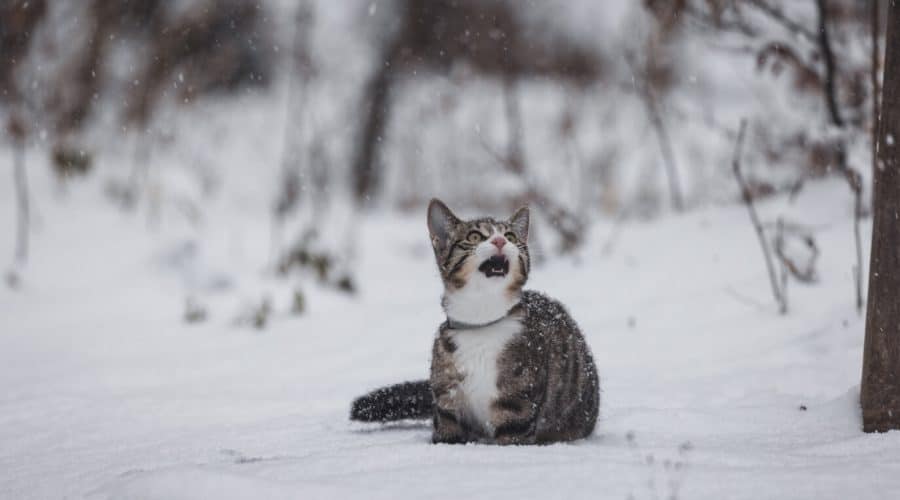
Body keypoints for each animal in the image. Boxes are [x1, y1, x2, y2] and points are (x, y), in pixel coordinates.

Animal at [350, 199, 596, 446]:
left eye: (510, 236)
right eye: (475, 236)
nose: (500, 241)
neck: (481, 323)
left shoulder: (517, 402)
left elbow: (512, 436)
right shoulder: (447, 397)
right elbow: (447, 433)